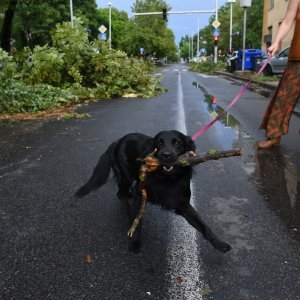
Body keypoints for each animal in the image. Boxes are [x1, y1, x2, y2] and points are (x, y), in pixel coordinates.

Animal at [75, 130, 232, 254]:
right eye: (159, 143)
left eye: (177, 142)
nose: (165, 155)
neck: (167, 178)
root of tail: (117, 141)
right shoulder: (140, 193)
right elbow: (138, 221)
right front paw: (135, 242)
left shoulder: (183, 204)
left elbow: (203, 225)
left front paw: (219, 243)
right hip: (126, 176)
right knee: (120, 194)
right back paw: (128, 210)